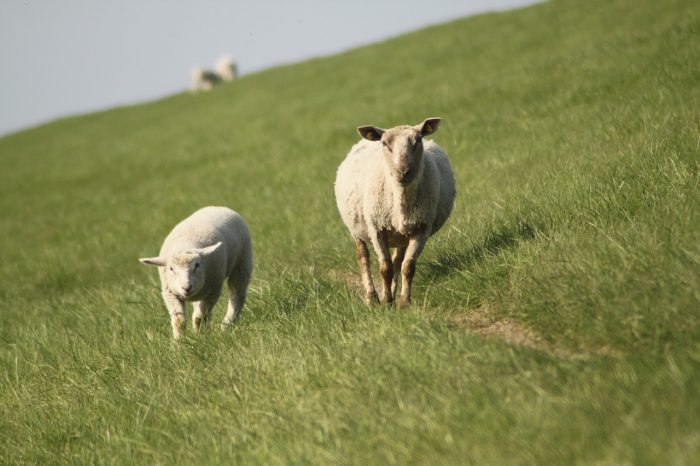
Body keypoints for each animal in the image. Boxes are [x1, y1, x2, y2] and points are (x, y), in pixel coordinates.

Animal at [139, 206, 253, 339]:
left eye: (197, 265)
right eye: (171, 269)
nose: (186, 287)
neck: (184, 246)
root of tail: (218, 207)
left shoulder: (212, 291)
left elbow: (199, 318)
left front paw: (200, 336)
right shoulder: (170, 293)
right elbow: (179, 320)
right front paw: (179, 340)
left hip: (242, 265)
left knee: (237, 295)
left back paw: (227, 325)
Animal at [334, 117, 455, 308]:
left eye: (418, 140)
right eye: (385, 143)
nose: (403, 171)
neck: (401, 201)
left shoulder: (421, 228)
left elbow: (408, 266)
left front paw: (404, 303)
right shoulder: (377, 229)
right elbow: (385, 268)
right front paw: (388, 303)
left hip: (402, 235)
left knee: (398, 261)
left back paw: (389, 291)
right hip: (356, 229)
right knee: (364, 258)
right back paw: (372, 297)